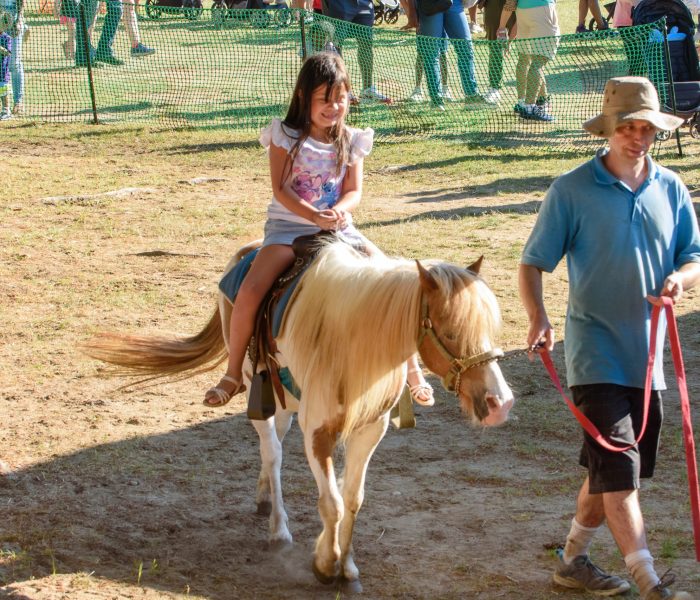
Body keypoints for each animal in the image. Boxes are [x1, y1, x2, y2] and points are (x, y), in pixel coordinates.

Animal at [86, 238, 516, 584]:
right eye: (451, 331)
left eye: (489, 328)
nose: (500, 403)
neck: (352, 340)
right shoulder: (318, 431)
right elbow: (332, 503)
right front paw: (326, 564)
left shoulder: (370, 429)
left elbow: (353, 498)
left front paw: (348, 565)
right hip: (257, 393)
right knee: (272, 451)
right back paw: (278, 529)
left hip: (284, 402)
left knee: (275, 446)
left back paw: (264, 499)